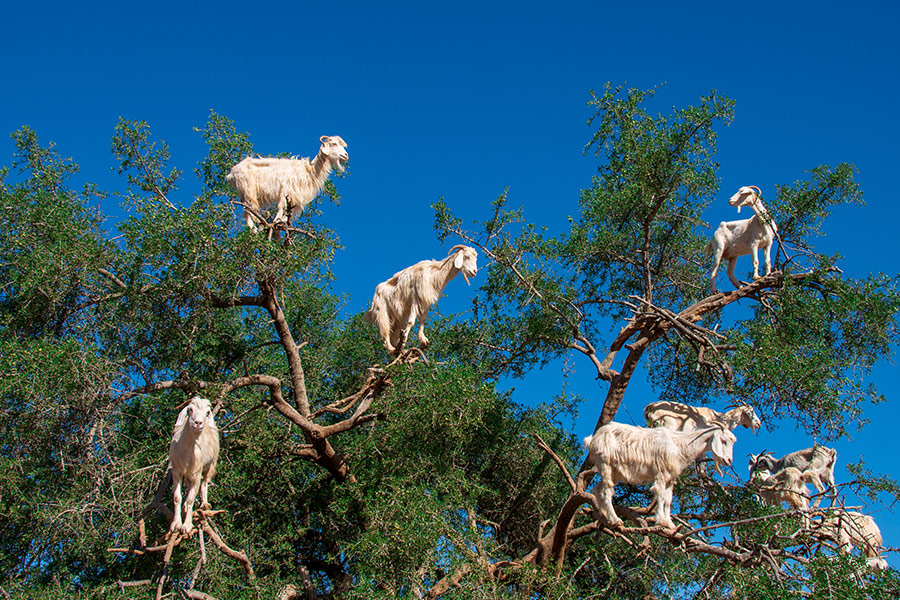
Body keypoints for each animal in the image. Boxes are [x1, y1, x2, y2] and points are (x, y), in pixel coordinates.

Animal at [169, 396, 220, 535]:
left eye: (207, 413)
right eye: (190, 410)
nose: (198, 423)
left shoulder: (196, 474)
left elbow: (191, 499)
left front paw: (186, 526)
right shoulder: (176, 471)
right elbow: (177, 497)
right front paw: (176, 524)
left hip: (211, 464)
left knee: (205, 482)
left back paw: (204, 504)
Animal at [583, 422, 737, 529]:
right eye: (723, 441)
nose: (729, 460)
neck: (680, 445)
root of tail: (593, 439)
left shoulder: (670, 477)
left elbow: (668, 499)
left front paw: (670, 524)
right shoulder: (661, 474)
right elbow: (661, 496)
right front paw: (662, 521)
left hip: (614, 472)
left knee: (598, 489)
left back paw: (605, 516)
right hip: (606, 464)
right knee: (606, 491)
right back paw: (615, 520)